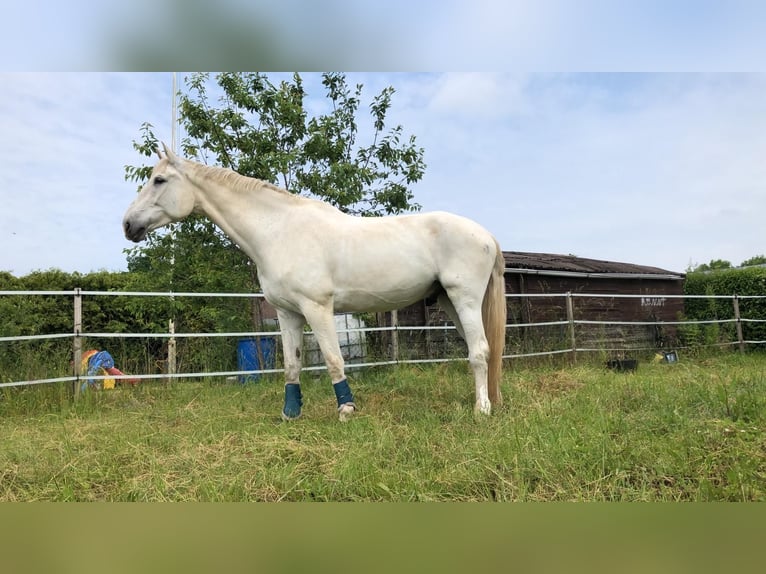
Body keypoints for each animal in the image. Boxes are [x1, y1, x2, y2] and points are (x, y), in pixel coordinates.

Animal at [123, 144, 510, 424]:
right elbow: (292, 365)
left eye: (159, 181)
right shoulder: (287, 313)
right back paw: (488, 400)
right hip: (448, 301)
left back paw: (482, 411)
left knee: (480, 350)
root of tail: (486, 235)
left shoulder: (317, 308)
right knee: (482, 350)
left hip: (464, 299)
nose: (128, 225)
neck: (278, 230)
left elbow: (333, 359)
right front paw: (290, 415)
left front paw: (346, 411)